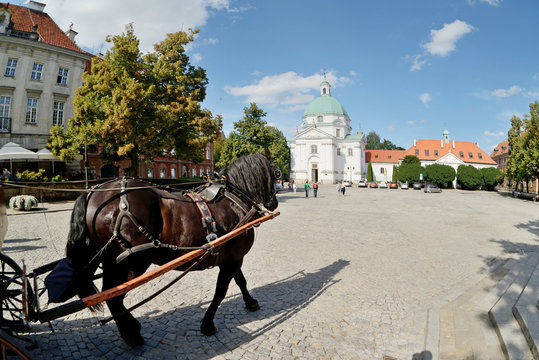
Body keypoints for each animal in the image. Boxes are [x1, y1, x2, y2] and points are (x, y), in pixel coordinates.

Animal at [64, 153, 278, 346]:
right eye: (276, 173)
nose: (274, 203)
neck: (232, 201)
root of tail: (94, 192)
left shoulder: (232, 258)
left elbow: (241, 280)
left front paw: (250, 301)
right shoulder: (234, 259)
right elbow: (221, 292)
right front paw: (208, 324)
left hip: (106, 261)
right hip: (131, 263)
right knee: (113, 298)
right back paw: (133, 333)